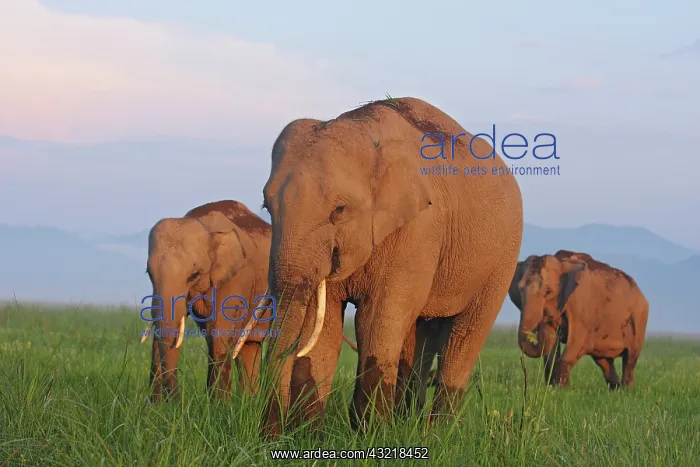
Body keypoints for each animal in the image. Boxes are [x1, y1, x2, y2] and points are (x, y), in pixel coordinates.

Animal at [244, 96, 523, 436]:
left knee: (465, 336)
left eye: (340, 210)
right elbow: (323, 325)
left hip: (502, 261)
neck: (364, 129)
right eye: (266, 206)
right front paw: (310, 436)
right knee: (421, 334)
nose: (268, 436)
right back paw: (408, 423)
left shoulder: (419, 228)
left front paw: (371, 436)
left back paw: (438, 434)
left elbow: (376, 318)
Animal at [512, 249, 649, 389]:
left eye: (548, 292)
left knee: (630, 358)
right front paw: (553, 388)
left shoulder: (582, 308)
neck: (562, 263)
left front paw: (561, 389)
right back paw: (615, 389)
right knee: (603, 361)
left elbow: (578, 342)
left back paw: (626, 390)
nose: (541, 325)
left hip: (639, 319)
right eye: (519, 289)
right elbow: (551, 351)